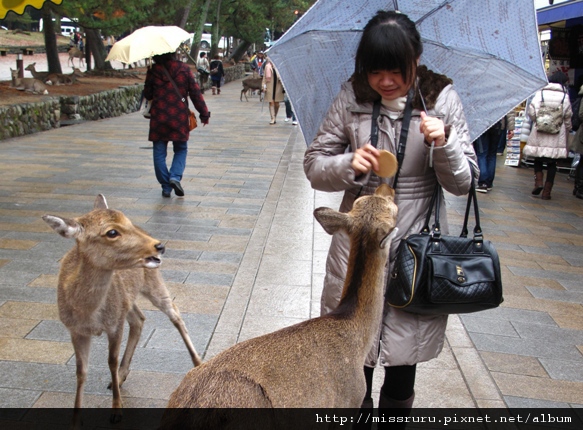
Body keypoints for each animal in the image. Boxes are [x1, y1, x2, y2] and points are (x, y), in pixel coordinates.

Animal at [41, 195, 201, 424]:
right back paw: (123, 375)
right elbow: (81, 372)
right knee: (139, 319)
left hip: (153, 282)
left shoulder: (114, 324)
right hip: (127, 298)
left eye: (125, 222)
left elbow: (111, 361)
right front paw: (75, 420)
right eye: (111, 232)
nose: (159, 246)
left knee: (175, 313)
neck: (88, 313)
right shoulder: (75, 330)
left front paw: (117, 410)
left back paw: (198, 363)